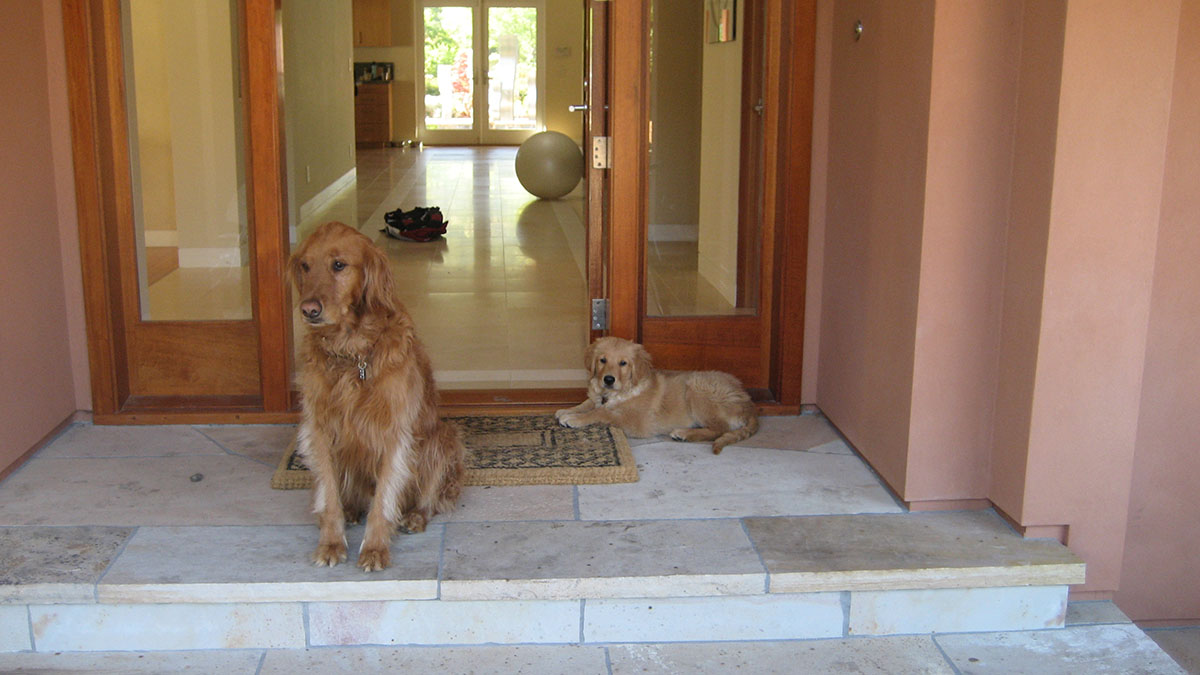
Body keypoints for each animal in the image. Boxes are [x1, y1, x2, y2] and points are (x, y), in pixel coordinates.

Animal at [285, 220, 463, 566]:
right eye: (305, 266)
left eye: (339, 265)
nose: (308, 309)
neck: (351, 353)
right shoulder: (318, 429)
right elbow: (328, 495)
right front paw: (331, 543)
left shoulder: (395, 433)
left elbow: (384, 499)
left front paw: (375, 548)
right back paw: (352, 510)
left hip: (442, 439)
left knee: (428, 498)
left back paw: (415, 517)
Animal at [554, 333, 758, 451]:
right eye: (602, 360)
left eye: (623, 363)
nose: (609, 379)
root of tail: (749, 404)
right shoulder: (598, 398)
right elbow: (588, 403)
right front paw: (568, 410)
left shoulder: (637, 423)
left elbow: (601, 413)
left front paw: (574, 419)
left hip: (697, 388)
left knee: (720, 429)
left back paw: (684, 433)